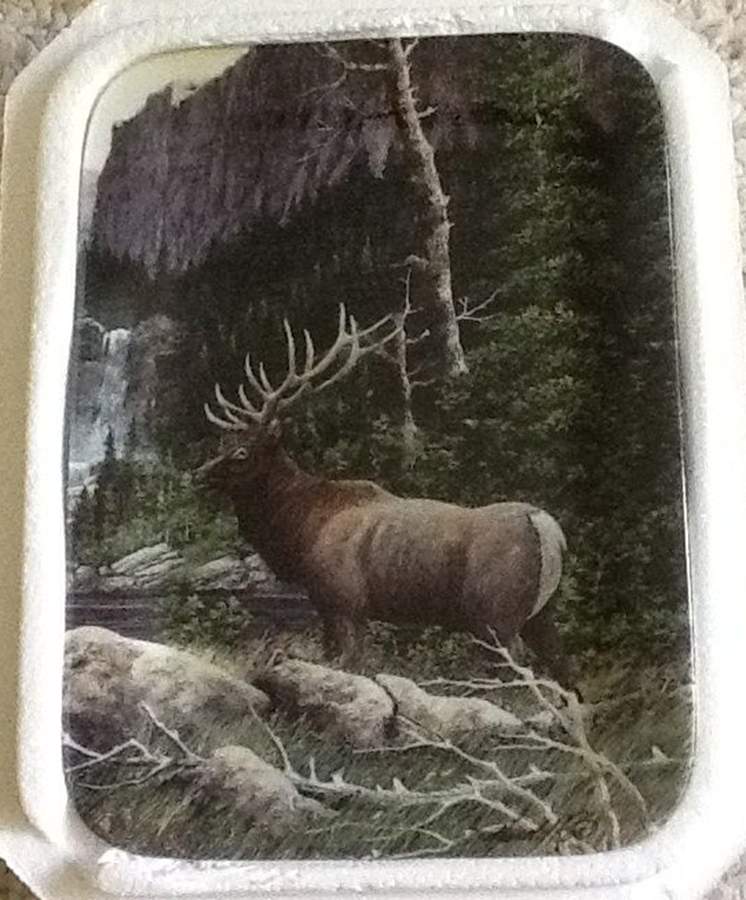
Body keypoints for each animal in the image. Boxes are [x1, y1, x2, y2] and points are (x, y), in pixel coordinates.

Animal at [195, 305, 575, 688]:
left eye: (241, 453)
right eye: (221, 444)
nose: (198, 475)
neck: (302, 529)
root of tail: (547, 528)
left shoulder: (344, 600)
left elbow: (349, 664)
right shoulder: (328, 606)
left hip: (496, 614)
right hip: (541, 612)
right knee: (564, 669)